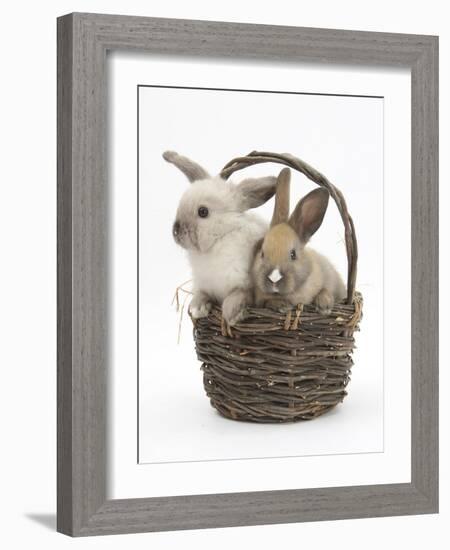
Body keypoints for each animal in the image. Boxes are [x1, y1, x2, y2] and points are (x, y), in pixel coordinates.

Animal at [164, 151, 278, 326]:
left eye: (203, 211)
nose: (176, 231)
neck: (219, 239)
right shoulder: (204, 285)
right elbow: (201, 295)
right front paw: (197, 309)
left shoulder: (245, 285)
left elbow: (238, 295)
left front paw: (232, 315)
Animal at [251, 168, 346, 314]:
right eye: (262, 253)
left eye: (293, 254)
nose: (274, 278)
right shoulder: (260, 301)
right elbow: (267, 302)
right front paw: (282, 306)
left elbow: (325, 290)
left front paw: (324, 306)